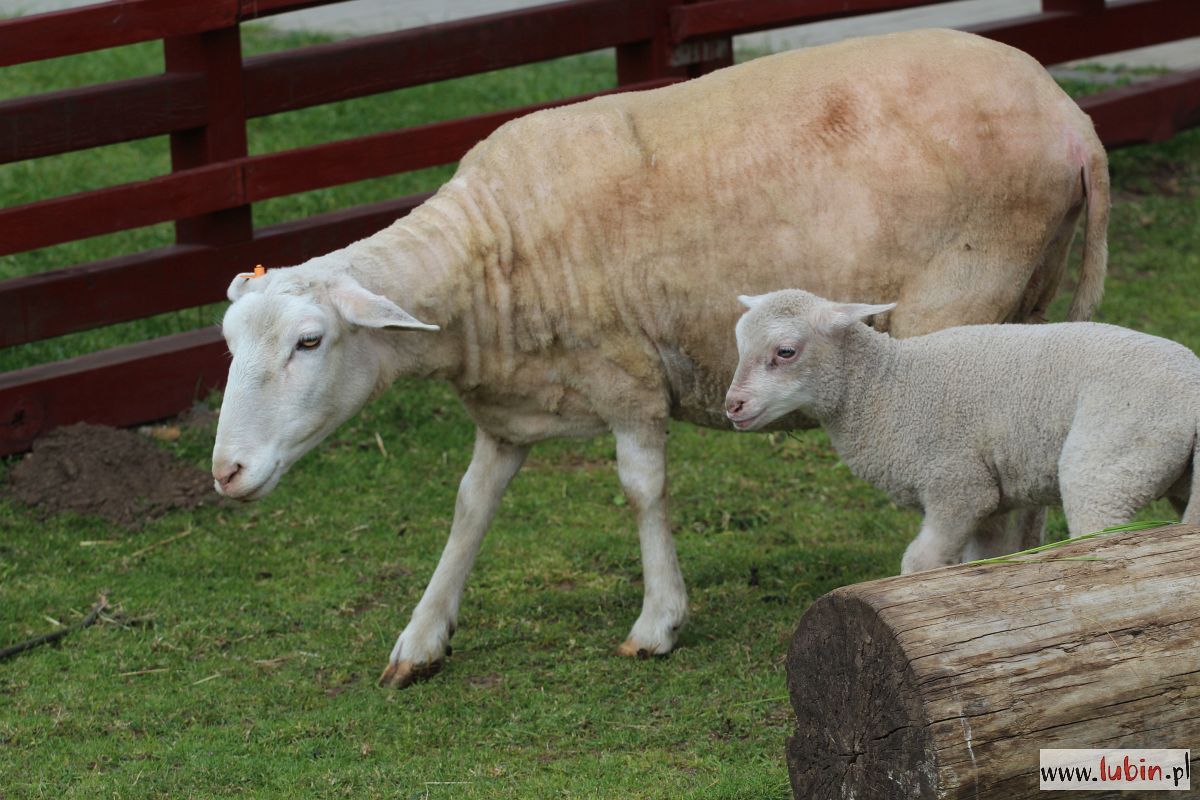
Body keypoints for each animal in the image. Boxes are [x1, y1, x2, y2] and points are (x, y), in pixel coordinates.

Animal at [211, 28, 1108, 686]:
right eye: (227, 343)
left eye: (309, 341)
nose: (224, 474)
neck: (487, 257)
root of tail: (1072, 116)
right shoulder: (508, 410)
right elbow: (470, 506)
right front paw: (422, 639)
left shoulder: (627, 379)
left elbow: (642, 490)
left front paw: (658, 622)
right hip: (1025, 301)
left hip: (967, 300)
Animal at [724, 291, 1195, 573]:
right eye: (739, 346)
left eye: (786, 351)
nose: (733, 406)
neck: (885, 387)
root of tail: (1193, 382)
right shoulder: (993, 499)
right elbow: (983, 559)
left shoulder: (958, 485)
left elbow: (919, 562)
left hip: (1113, 459)